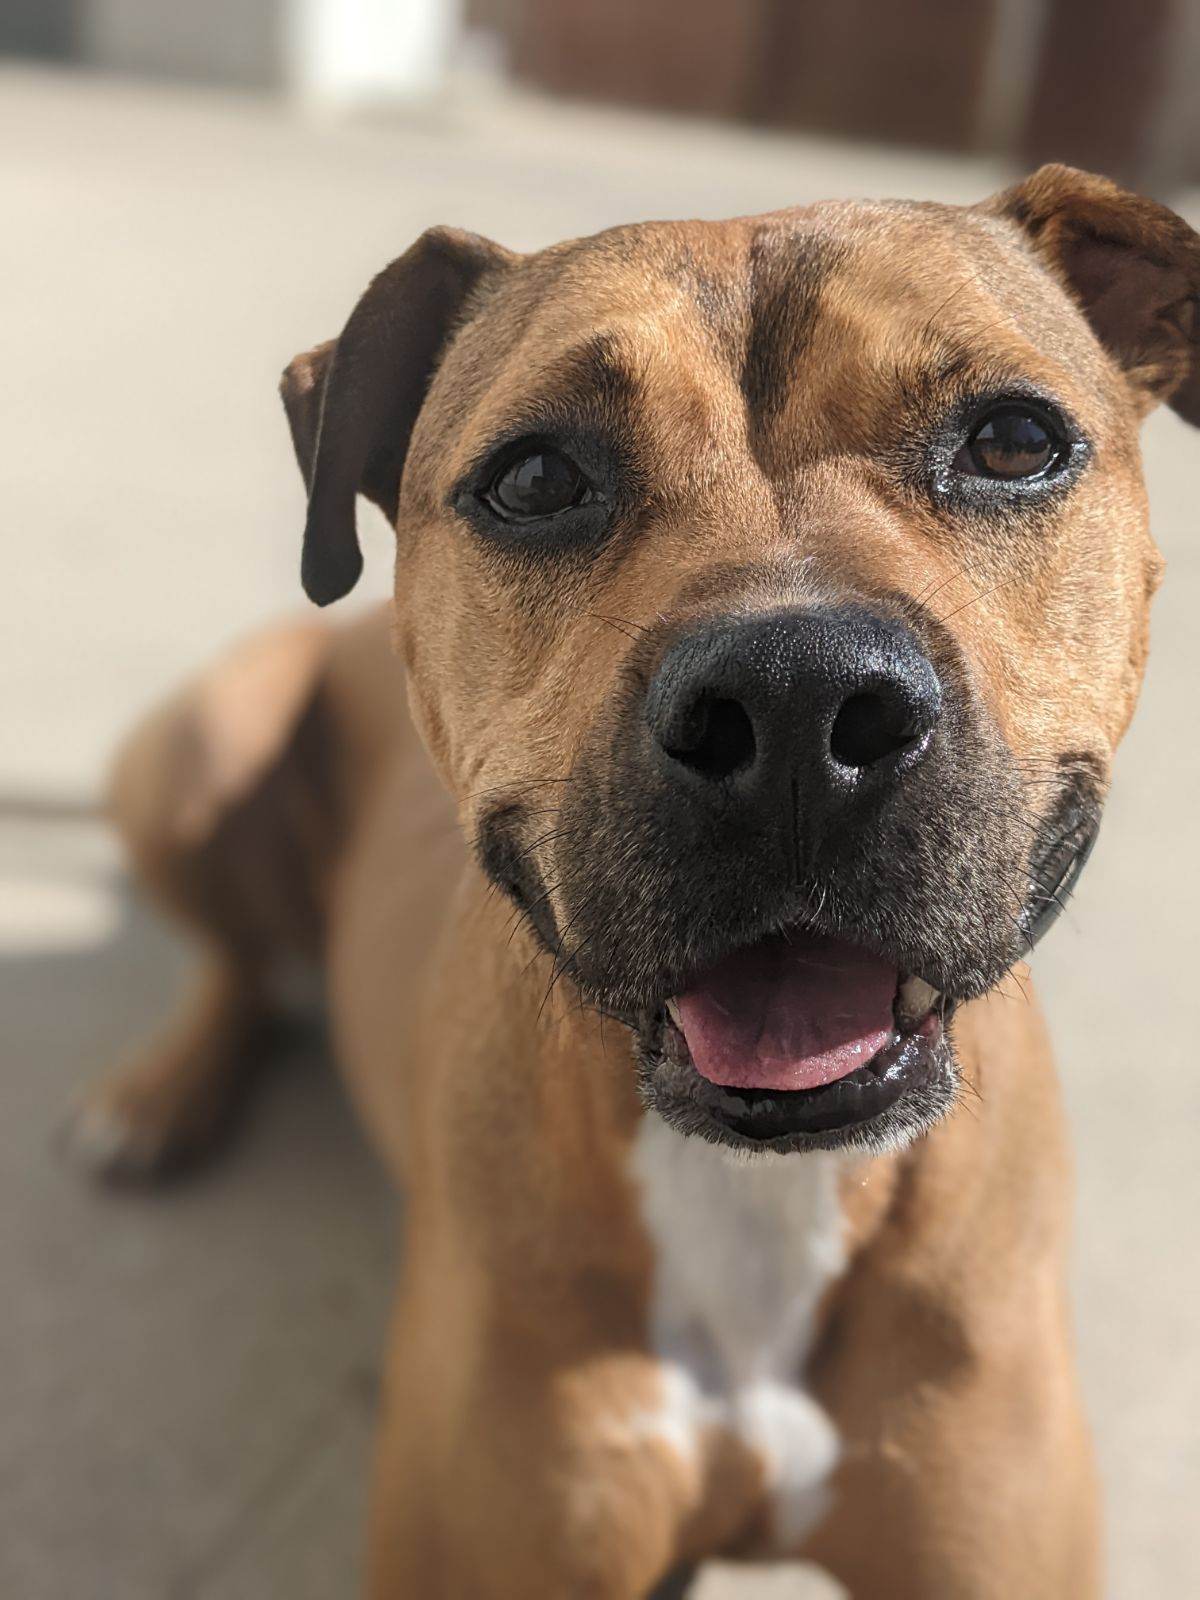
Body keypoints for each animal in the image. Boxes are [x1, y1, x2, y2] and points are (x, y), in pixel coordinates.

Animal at [68, 168, 1200, 1593]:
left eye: (1011, 441)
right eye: (537, 476)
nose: (795, 700)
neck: (761, 1190)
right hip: (201, 742)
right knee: (235, 955)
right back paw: (157, 1095)